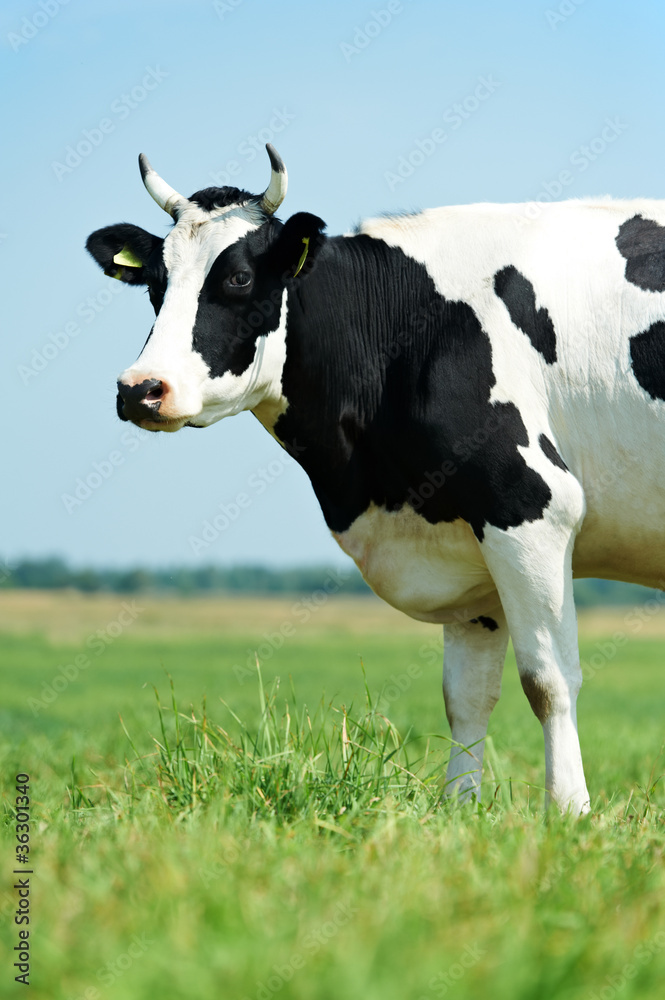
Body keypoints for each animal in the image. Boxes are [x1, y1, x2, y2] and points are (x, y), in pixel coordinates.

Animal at [85, 146, 664, 812]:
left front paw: (568, 813)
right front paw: (460, 810)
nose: (140, 389)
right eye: (157, 283)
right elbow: (467, 696)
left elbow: (548, 681)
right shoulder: (470, 548)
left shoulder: (529, 507)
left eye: (238, 279)